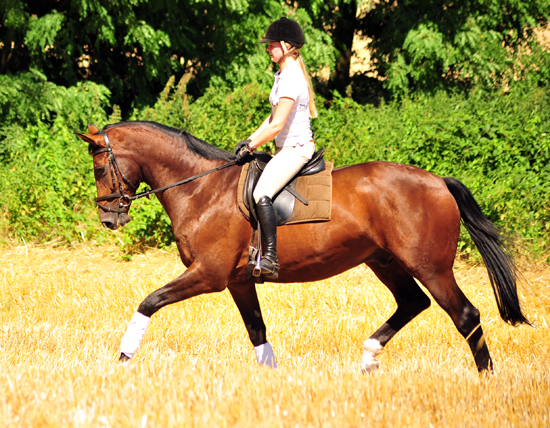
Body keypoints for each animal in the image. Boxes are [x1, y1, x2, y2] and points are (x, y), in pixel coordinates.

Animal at [75, 119, 528, 372]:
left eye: (98, 167)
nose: (109, 219)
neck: (202, 187)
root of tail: (439, 182)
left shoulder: (209, 274)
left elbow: (148, 302)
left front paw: (121, 361)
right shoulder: (239, 281)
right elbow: (257, 332)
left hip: (430, 266)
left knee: (465, 315)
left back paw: (486, 381)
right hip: (385, 261)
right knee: (413, 303)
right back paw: (369, 356)